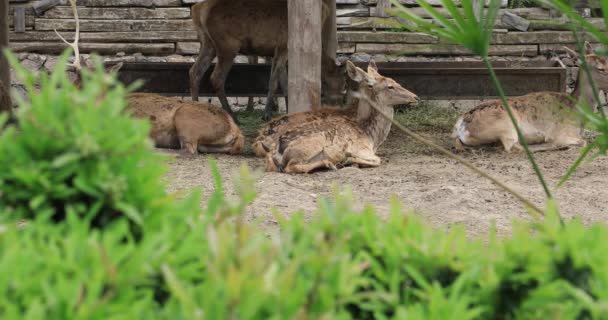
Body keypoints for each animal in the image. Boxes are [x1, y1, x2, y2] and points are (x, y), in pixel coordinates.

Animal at [189, 0, 346, 120]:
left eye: (343, 85)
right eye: (338, 83)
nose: (337, 106)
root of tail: (198, 9)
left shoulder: (277, 51)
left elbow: (284, 83)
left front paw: (287, 111)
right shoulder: (283, 46)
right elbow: (274, 81)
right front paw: (266, 114)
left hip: (208, 43)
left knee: (195, 71)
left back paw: (195, 107)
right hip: (228, 44)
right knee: (216, 77)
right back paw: (231, 114)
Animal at [264, 61, 420, 174]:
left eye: (394, 80)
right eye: (390, 86)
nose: (415, 97)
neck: (371, 136)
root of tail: (277, 149)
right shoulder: (362, 149)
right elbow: (378, 159)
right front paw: (349, 159)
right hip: (311, 145)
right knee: (292, 167)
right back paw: (331, 163)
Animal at [448, 42, 604, 154]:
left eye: (606, 61)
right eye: (601, 68)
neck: (579, 114)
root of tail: (460, 125)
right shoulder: (562, 131)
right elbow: (583, 141)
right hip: (505, 125)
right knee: (512, 147)